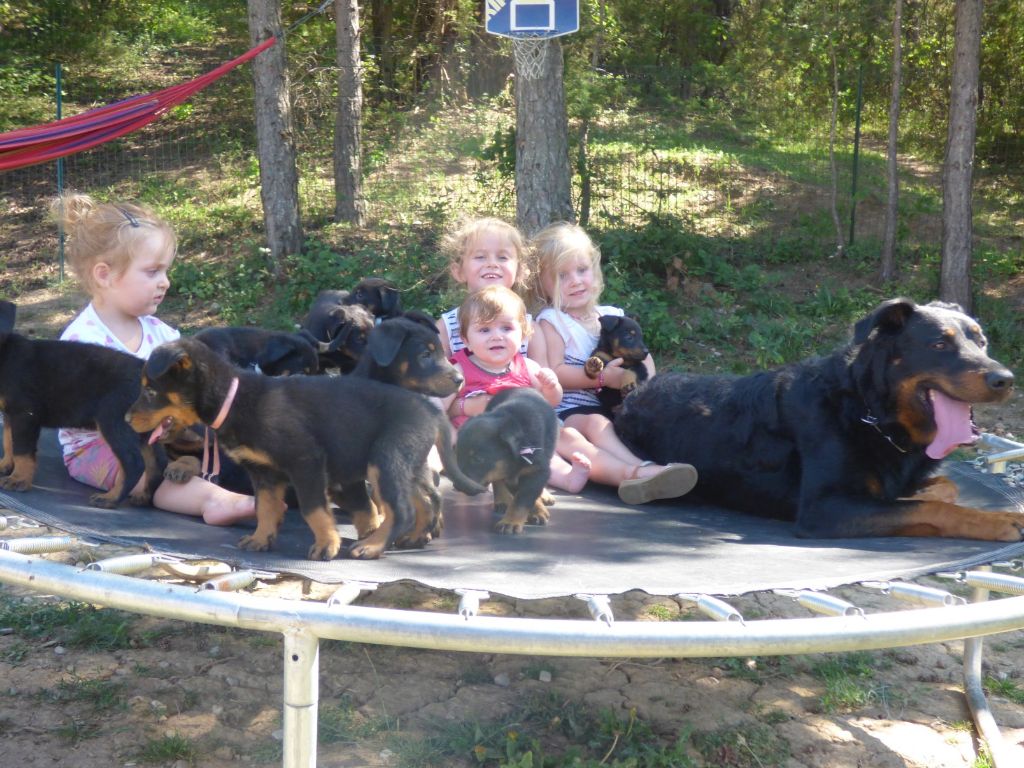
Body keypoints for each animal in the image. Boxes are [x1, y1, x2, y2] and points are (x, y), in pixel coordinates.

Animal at [0, 301, 162, 512]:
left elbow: (22, 450)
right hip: (144, 429)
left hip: (113, 420)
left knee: (133, 463)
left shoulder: (24, 414)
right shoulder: (10, 415)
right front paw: (5, 465)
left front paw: (18, 479)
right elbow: (8, 440)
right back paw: (143, 496)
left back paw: (110, 498)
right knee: (157, 463)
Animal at [125, 339, 485, 561]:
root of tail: (430, 410)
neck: (235, 399)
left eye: (151, 392)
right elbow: (266, 508)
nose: (127, 419)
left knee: (402, 508)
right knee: (427, 498)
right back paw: (415, 536)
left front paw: (327, 545)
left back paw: (372, 546)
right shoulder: (263, 473)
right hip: (407, 464)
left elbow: (314, 510)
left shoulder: (306, 463)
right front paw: (261, 538)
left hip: (385, 460)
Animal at [456, 391, 557, 536]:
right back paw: (502, 500)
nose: (457, 486)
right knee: (498, 481)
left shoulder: (537, 470)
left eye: (478, 459)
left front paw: (511, 522)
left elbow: (523, 498)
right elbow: (519, 494)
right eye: (457, 456)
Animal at [610, 296, 1019, 544]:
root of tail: (631, 397)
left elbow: (942, 488)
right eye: (938, 344)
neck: (868, 409)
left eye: (982, 342)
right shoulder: (823, 508)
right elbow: (934, 507)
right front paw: (998, 521)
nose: (1005, 379)